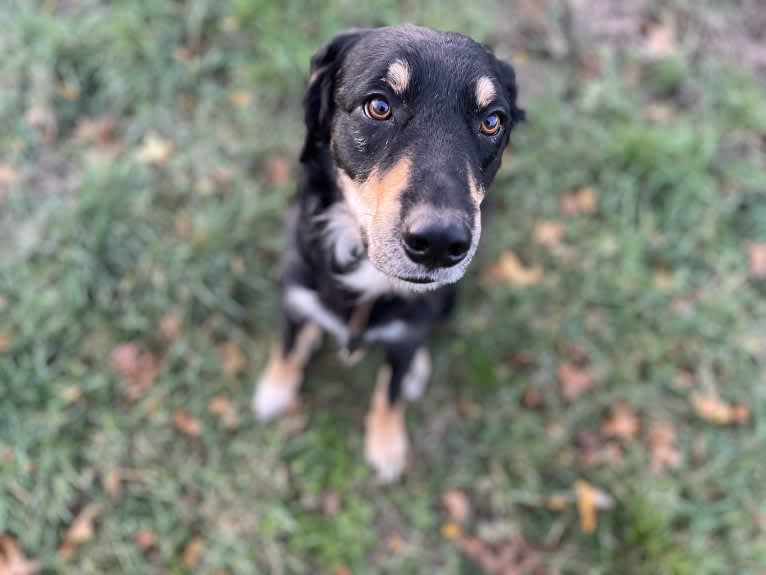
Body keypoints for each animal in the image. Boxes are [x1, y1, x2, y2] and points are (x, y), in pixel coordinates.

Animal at [255, 25, 524, 482]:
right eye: (379, 106)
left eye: (491, 122)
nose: (439, 243)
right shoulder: (293, 291)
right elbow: (287, 347)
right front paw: (276, 388)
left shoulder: (408, 332)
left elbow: (391, 391)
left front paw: (386, 443)